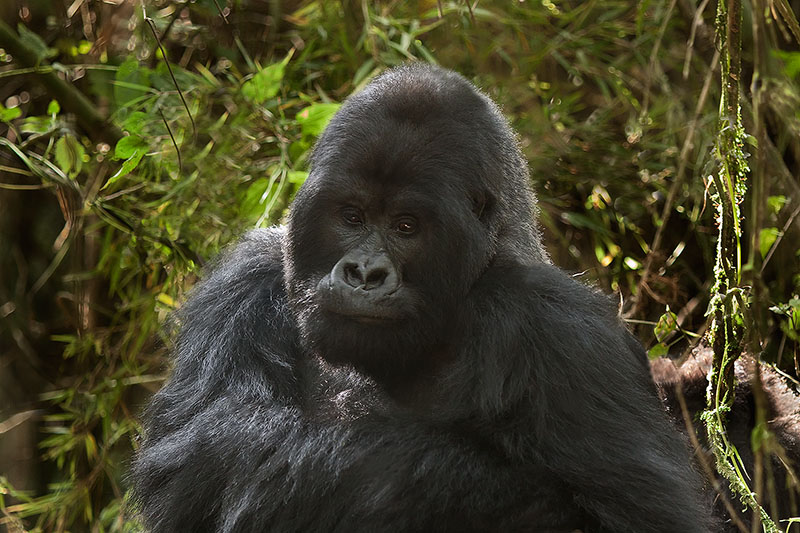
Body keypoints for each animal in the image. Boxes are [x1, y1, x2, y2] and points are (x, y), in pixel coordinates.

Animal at [133, 64, 712, 528]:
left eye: (406, 226)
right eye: (351, 217)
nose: (364, 273)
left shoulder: (566, 332)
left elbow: (634, 518)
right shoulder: (242, 283)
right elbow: (193, 456)